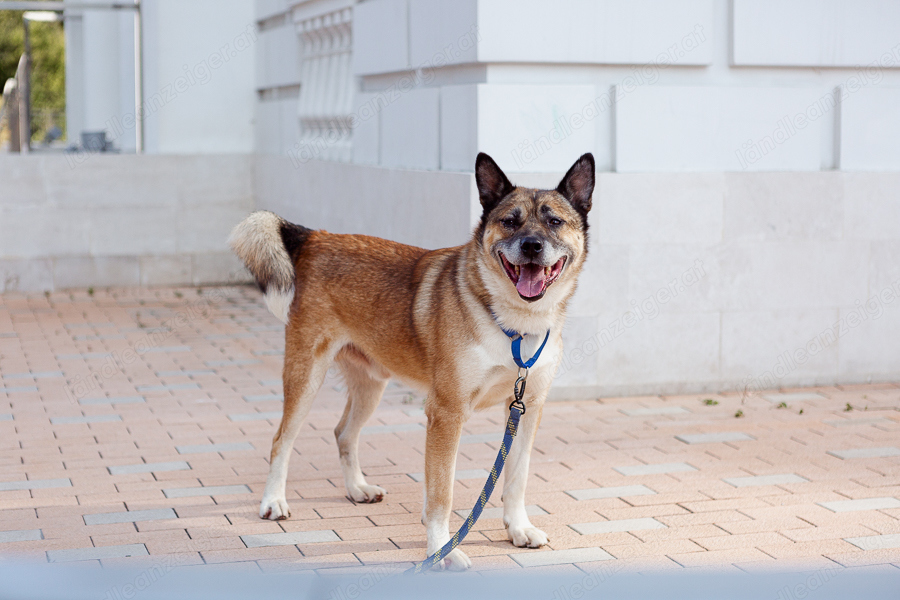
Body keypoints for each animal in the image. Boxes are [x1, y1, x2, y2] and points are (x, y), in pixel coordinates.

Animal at [229, 152, 596, 568]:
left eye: (554, 222)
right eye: (510, 221)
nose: (532, 246)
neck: (514, 326)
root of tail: (318, 237)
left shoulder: (526, 407)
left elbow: (516, 479)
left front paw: (518, 529)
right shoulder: (446, 413)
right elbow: (442, 493)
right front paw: (440, 550)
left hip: (371, 385)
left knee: (343, 433)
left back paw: (357, 488)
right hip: (306, 377)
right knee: (281, 440)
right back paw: (273, 501)